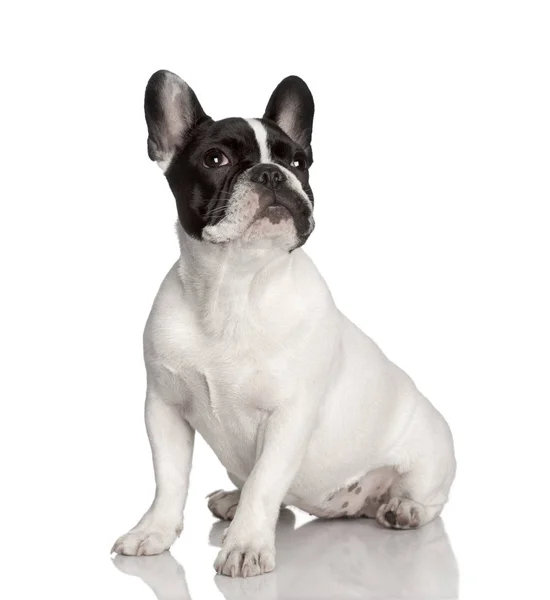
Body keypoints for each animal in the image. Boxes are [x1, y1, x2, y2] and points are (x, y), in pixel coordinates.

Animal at [111, 69, 458, 576]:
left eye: (298, 161)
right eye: (215, 159)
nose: (272, 173)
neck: (236, 287)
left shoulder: (289, 418)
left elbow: (265, 483)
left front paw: (246, 546)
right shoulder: (164, 408)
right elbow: (170, 479)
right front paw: (153, 531)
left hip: (430, 454)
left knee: (428, 497)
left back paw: (404, 508)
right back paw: (232, 501)